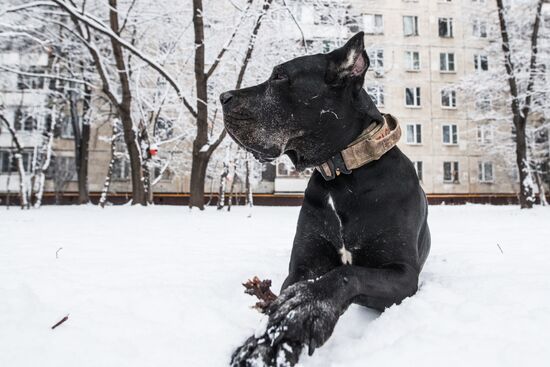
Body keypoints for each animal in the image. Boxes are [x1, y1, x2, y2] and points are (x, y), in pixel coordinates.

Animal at [220, 33, 432, 366]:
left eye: (279, 76)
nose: (222, 97)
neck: (342, 176)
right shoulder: (304, 265)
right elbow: (287, 293)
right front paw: (264, 343)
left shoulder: (404, 274)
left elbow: (344, 274)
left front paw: (301, 313)